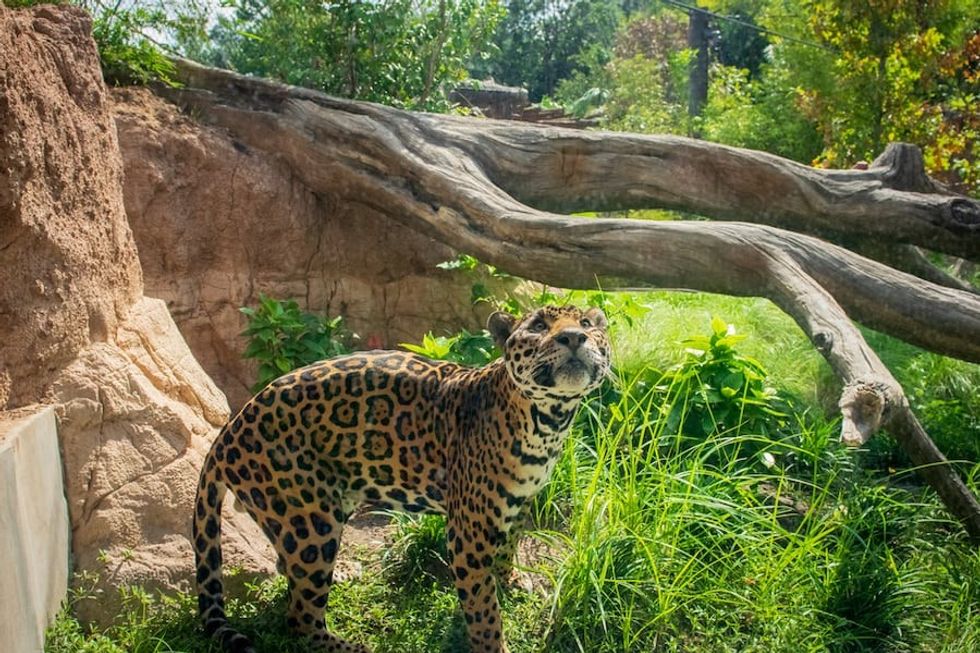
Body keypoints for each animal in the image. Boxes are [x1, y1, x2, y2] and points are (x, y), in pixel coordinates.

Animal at [192, 304, 611, 653]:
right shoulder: (468, 535)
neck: (548, 421)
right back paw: (353, 647)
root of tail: (228, 430)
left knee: (289, 571)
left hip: (311, 510)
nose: (574, 337)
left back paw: (340, 572)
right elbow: (484, 611)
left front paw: (511, 580)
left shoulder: (520, 502)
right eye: (539, 326)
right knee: (300, 618)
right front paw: (494, 643)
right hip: (308, 519)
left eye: (586, 323)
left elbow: (508, 548)